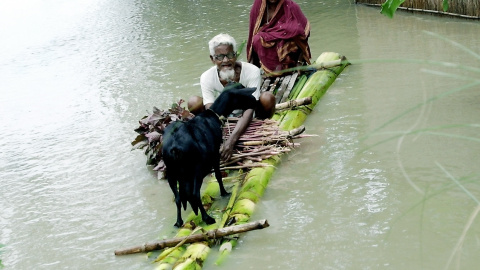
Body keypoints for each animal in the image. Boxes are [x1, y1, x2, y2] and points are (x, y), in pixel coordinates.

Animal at [162, 85, 258, 227]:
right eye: (243, 93)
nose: (256, 102)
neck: (213, 114)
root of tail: (174, 147)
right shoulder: (215, 155)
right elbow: (218, 175)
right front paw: (224, 193)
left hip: (171, 172)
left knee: (179, 197)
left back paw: (179, 222)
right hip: (196, 169)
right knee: (195, 194)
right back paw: (207, 218)